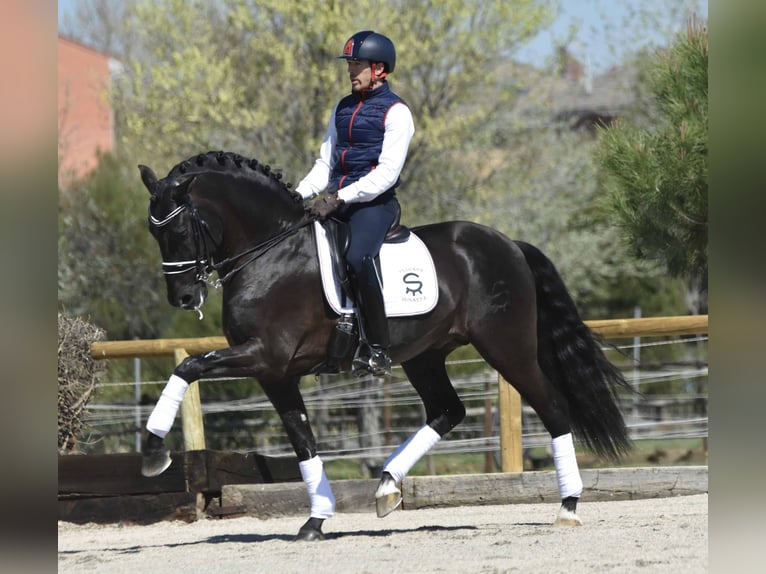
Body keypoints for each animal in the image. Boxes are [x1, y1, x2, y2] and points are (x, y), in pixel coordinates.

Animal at [141, 151, 632, 544]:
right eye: (153, 231)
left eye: (181, 228)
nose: (183, 297)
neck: (270, 252)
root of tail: (508, 243)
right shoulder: (274, 373)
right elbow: (303, 442)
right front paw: (316, 521)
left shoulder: (264, 355)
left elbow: (187, 367)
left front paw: (152, 453)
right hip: (425, 355)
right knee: (448, 411)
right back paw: (387, 486)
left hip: (506, 347)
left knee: (551, 407)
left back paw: (568, 506)